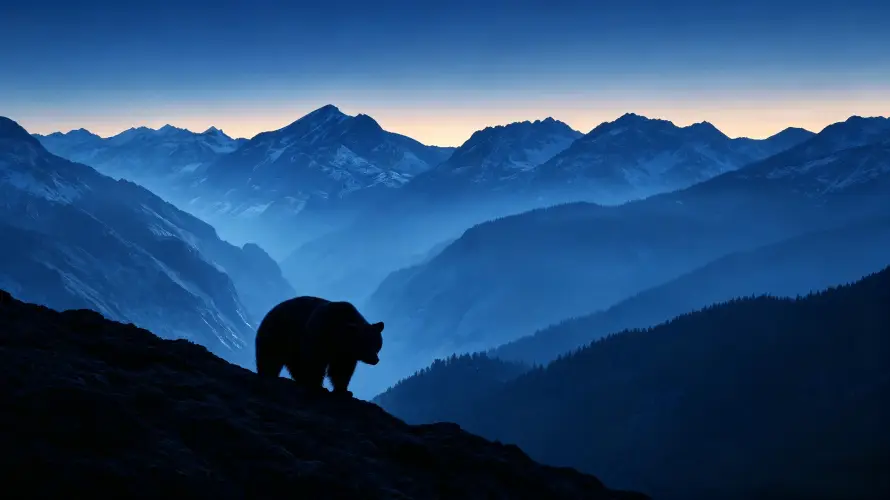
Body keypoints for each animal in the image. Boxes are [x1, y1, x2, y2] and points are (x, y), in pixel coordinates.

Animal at [254, 296, 384, 397]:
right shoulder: (319, 334)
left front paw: (344, 391)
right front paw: (317, 386)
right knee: (270, 359)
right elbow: (315, 362)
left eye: (377, 344)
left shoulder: (345, 354)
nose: (375, 359)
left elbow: (342, 369)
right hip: (278, 335)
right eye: (365, 343)